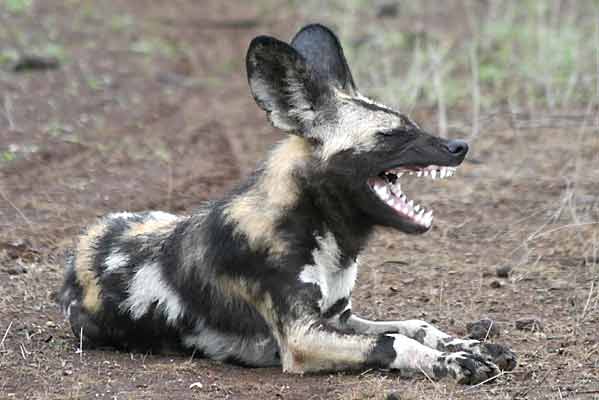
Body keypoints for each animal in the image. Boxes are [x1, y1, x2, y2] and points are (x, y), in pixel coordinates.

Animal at [62, 22, 520, 384]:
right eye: (391, 134)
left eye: (412, 123)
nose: (459, 146)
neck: (317, 226)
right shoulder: (302, 337)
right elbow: (393, 340)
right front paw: (453, 361)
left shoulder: (339, 318)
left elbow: (415, 324)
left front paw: (470, 345)